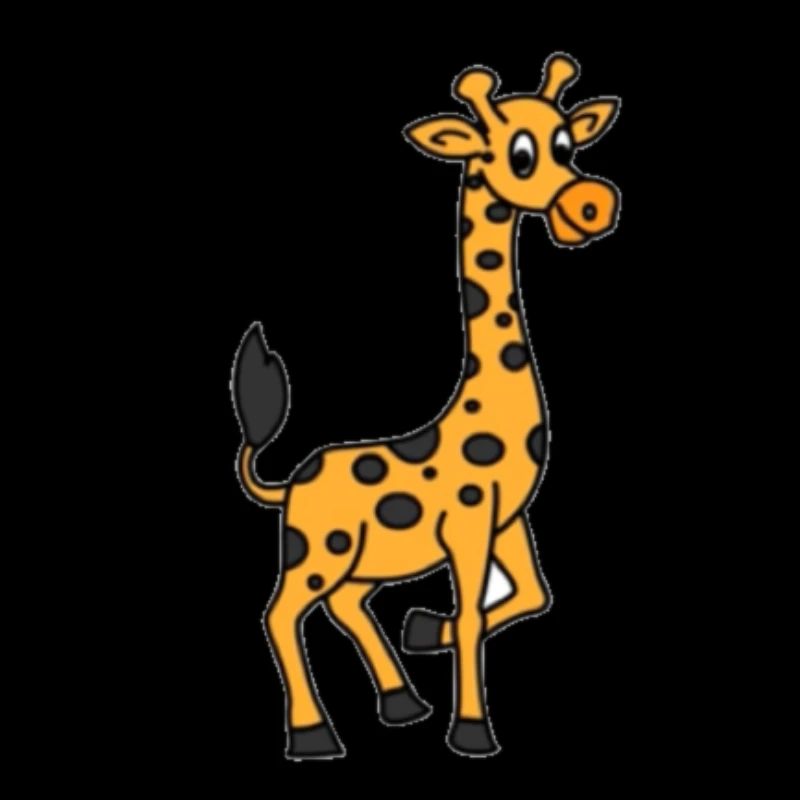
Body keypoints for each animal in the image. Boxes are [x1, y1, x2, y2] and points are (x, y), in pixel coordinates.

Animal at [231, 53, 621, 760]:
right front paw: (472, 730)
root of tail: (289, 482)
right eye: (520, 155)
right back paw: (313, 735)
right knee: (280, 614)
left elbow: (530, 595)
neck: (483, 409)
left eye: (567, 145)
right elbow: (472, 615)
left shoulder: (507, 520)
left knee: (346, 607)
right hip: (316, 550)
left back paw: (402, 701)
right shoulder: (467, 523)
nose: (591, 205)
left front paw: (422, 629)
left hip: (359, 562)